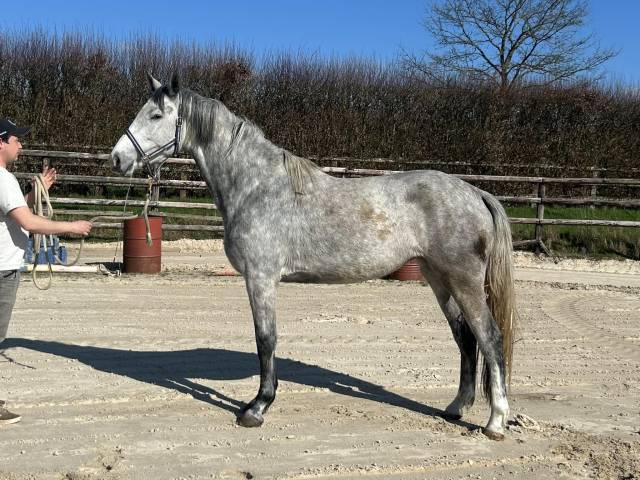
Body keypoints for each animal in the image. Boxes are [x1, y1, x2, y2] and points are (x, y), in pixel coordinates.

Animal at [110, 73, 518, 440]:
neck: (257, 186)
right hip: (439, 280)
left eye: (156, 115)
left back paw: (495, 422)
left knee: (489, 337)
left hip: (464, 282)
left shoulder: (260, 278)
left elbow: (265, 339)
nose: (117, 158)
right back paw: (456, 407)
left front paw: (257, 407)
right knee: (465, 338)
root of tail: (475, 192)